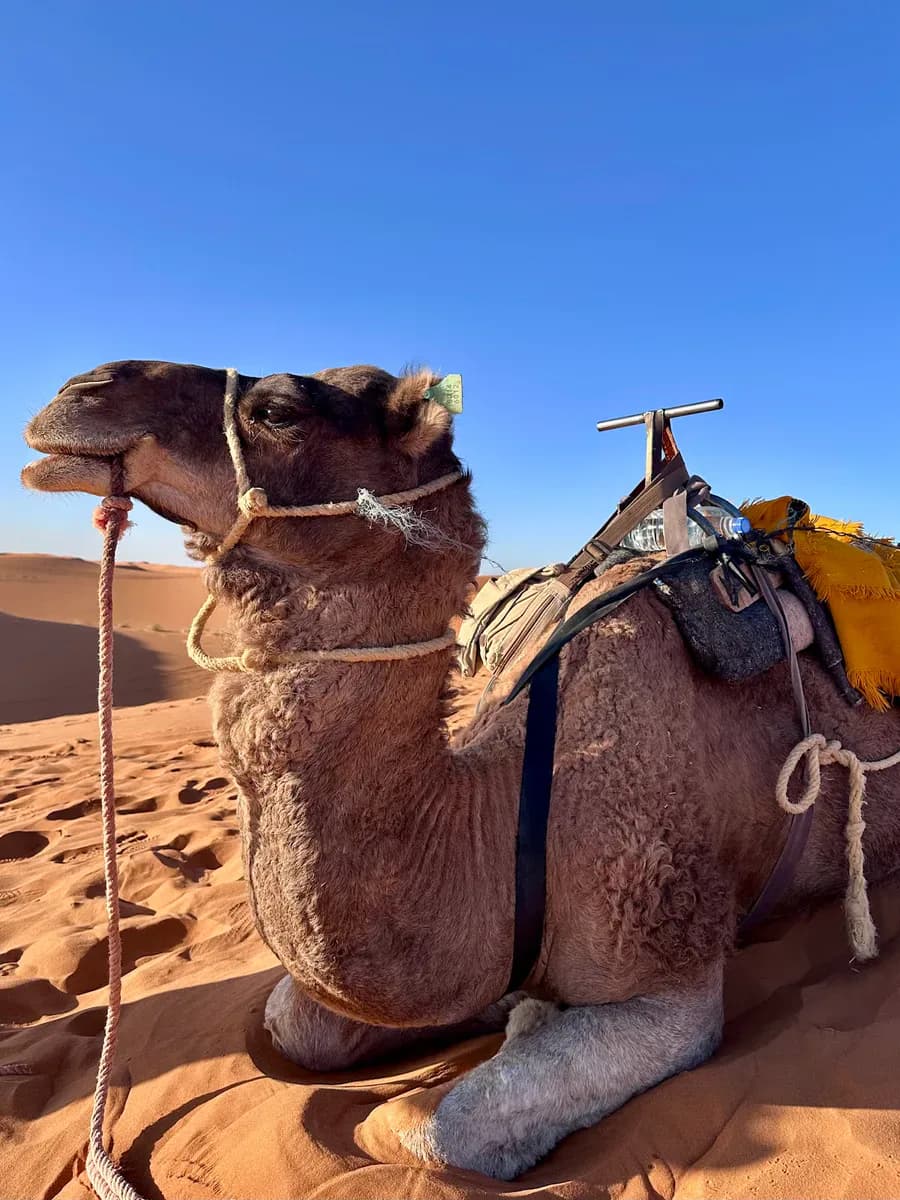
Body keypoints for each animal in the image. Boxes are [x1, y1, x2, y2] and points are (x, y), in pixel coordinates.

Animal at [22, 359, 900, 1180]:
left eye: (278, 411)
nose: (79, 389)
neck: (495, 812)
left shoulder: (667, 975)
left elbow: (426, 1131)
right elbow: (293, 1023)